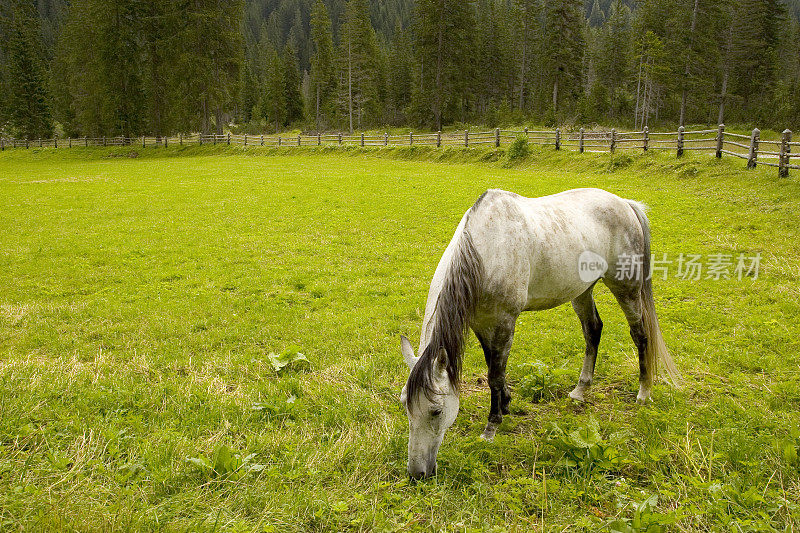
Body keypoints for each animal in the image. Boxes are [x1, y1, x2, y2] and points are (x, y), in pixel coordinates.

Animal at [400, 189, 680, 480]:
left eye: (436, 411)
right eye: (405, 405)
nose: (417, 473)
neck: (485, 251)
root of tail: (625, 204)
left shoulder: (504, 321)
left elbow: (495, 375)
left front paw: (491, 427)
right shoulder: (481, 323)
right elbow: (493, 367)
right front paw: (506, 404)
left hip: (626, 287)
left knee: (640, 334)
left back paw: (644, 392)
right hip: (582, 290)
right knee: (592, 330)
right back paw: (580, 390)